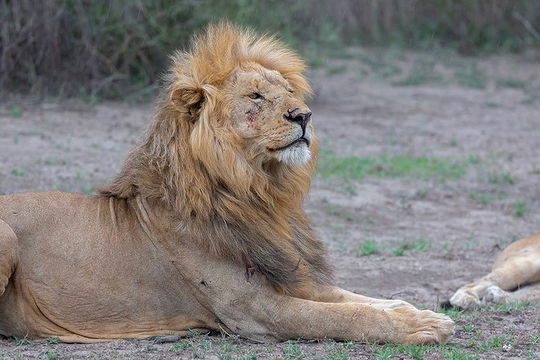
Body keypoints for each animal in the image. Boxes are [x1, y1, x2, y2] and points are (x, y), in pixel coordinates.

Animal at [0, 21, 456, 344]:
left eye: (289, 91)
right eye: (256, 96)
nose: (304, 115)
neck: (258, 194)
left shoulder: (293, 275)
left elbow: (356, 298)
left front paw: (417, 312)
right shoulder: (252, 309)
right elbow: (339, 316)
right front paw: (415, 328)